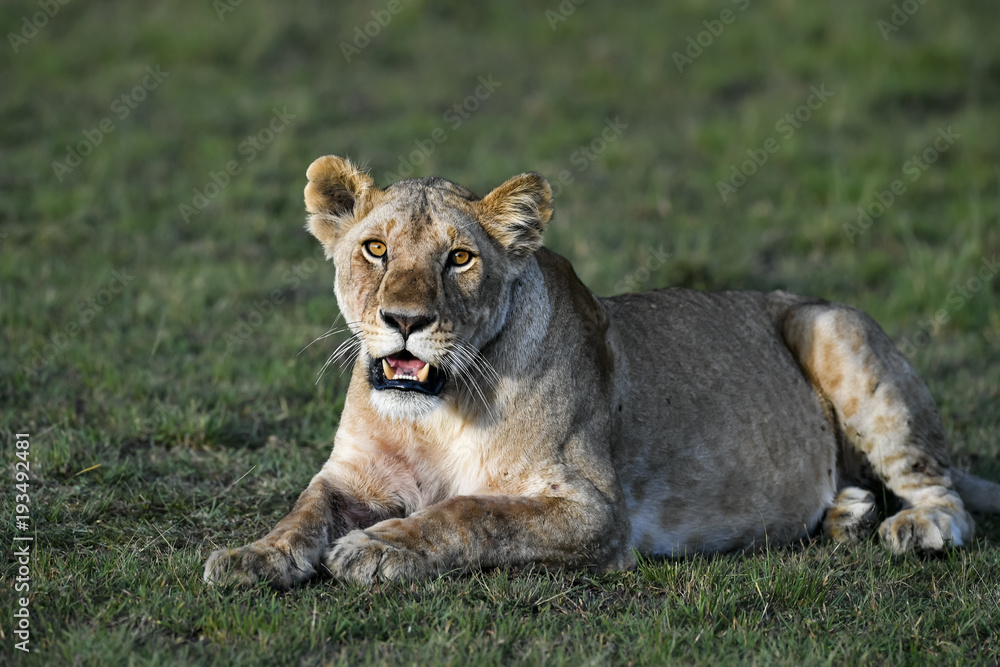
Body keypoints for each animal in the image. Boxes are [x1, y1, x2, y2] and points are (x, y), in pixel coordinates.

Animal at [204, 155, 1000, 589]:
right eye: (375, 248)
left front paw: (376, 548)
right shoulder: (352, 478)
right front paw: (249, 556)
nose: (405, 319)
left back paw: (910, 526)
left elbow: (470, 512)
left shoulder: (594, 509)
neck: (436, 411)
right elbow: (304, 510)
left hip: (830, 325)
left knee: (944, 494)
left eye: (459, 258)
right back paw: (845, 512)